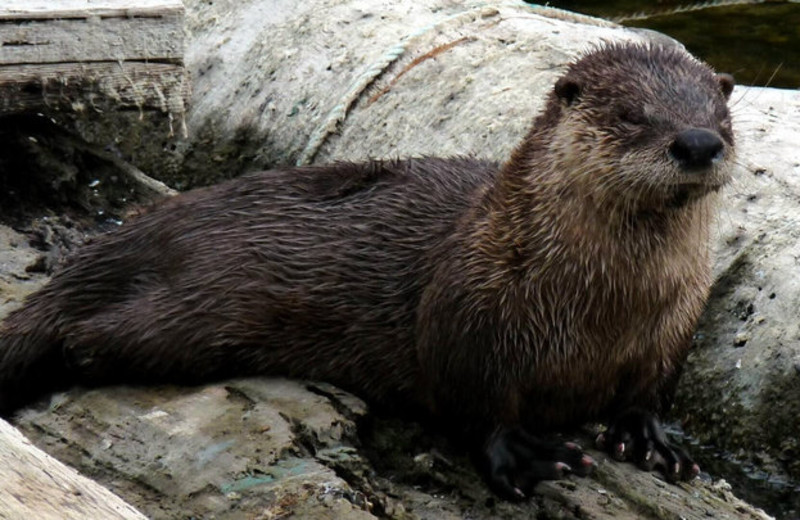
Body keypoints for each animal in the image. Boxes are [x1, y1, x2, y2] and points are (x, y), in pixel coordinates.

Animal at [0, 42, 736, 498]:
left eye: (721, 114)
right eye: (632, 115)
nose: (698, 142)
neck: (607, 304)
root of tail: (139, 232)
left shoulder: (679, 320)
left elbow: (652, 388)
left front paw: (651, 438)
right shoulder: (468, 303)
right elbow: (472, 398)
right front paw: (526, 454)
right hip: (181, 312)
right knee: (84, 335)